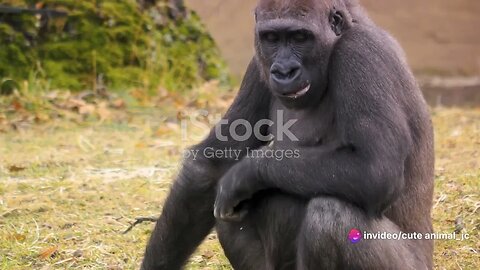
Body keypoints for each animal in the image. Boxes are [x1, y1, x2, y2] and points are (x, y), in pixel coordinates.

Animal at [142, 0, 436, 268]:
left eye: (300, 37)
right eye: (272, 38)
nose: (284, 71)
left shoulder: (361, 52)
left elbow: (375, 168)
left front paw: (245, 173)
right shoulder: (257, 65)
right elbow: (212, 166)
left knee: (330, 217)